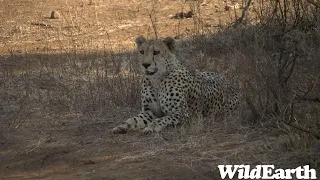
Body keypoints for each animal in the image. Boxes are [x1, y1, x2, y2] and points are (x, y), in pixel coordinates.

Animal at [111, 36, 239, 134]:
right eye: (142, 52)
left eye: (156, 52)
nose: (145, 65)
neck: (157, 80)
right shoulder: (150, 111)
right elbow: (134, 119)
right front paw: (123, 125)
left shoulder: (182, 113)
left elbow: (163, 119)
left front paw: (151, 126)